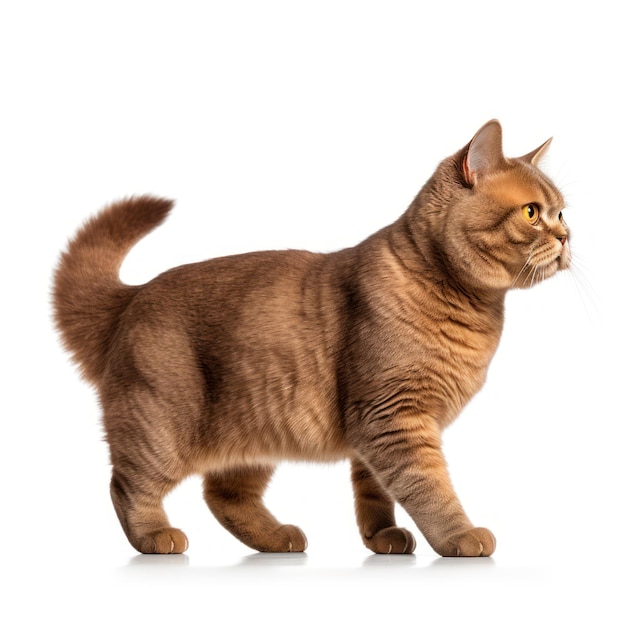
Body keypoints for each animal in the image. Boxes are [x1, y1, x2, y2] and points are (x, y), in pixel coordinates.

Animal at [53, 119, 572, 552]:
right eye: (531, 213)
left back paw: (276, 538)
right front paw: (459, 536)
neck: (471, 308)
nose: (568, 238)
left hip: (251, 431)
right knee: (126, 484)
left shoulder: (375, 425)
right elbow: (429, 488)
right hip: (160, 426)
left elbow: (374, 490)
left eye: (563, 213)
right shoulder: (394, 417)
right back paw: (155, 536)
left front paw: (382, 538)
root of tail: (133, 295)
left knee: (222, 495)